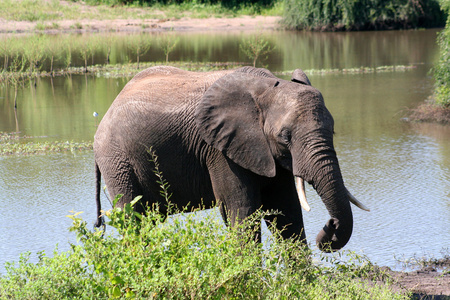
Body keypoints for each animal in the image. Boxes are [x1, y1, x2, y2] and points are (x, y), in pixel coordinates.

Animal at [92, 65, 370, 251]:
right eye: (285, 137)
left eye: (333, 131)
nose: (330, 225)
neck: (266, 87)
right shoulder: (220, 150)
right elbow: (243, 210)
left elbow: (287, 212)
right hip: (117, 161)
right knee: (133, 218)